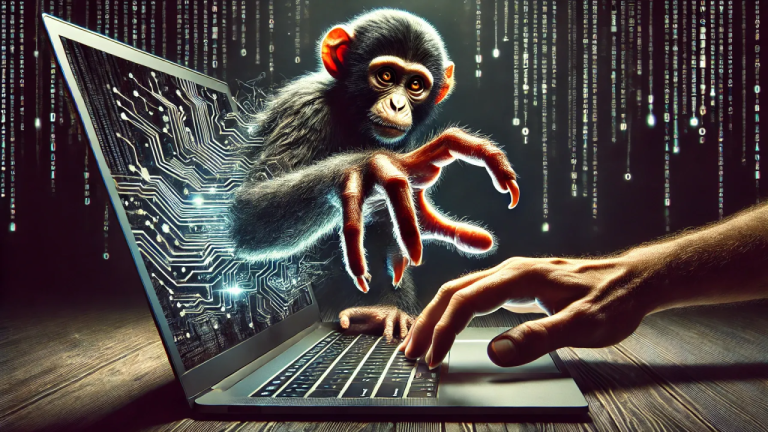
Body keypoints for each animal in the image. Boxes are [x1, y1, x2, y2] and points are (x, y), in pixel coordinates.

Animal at [229, 9, 520, 341]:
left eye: (415, 85)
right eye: (386, 76)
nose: (397, 103)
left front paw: (387, 310)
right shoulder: (303, 111)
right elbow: (249, 211)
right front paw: (366, 168)